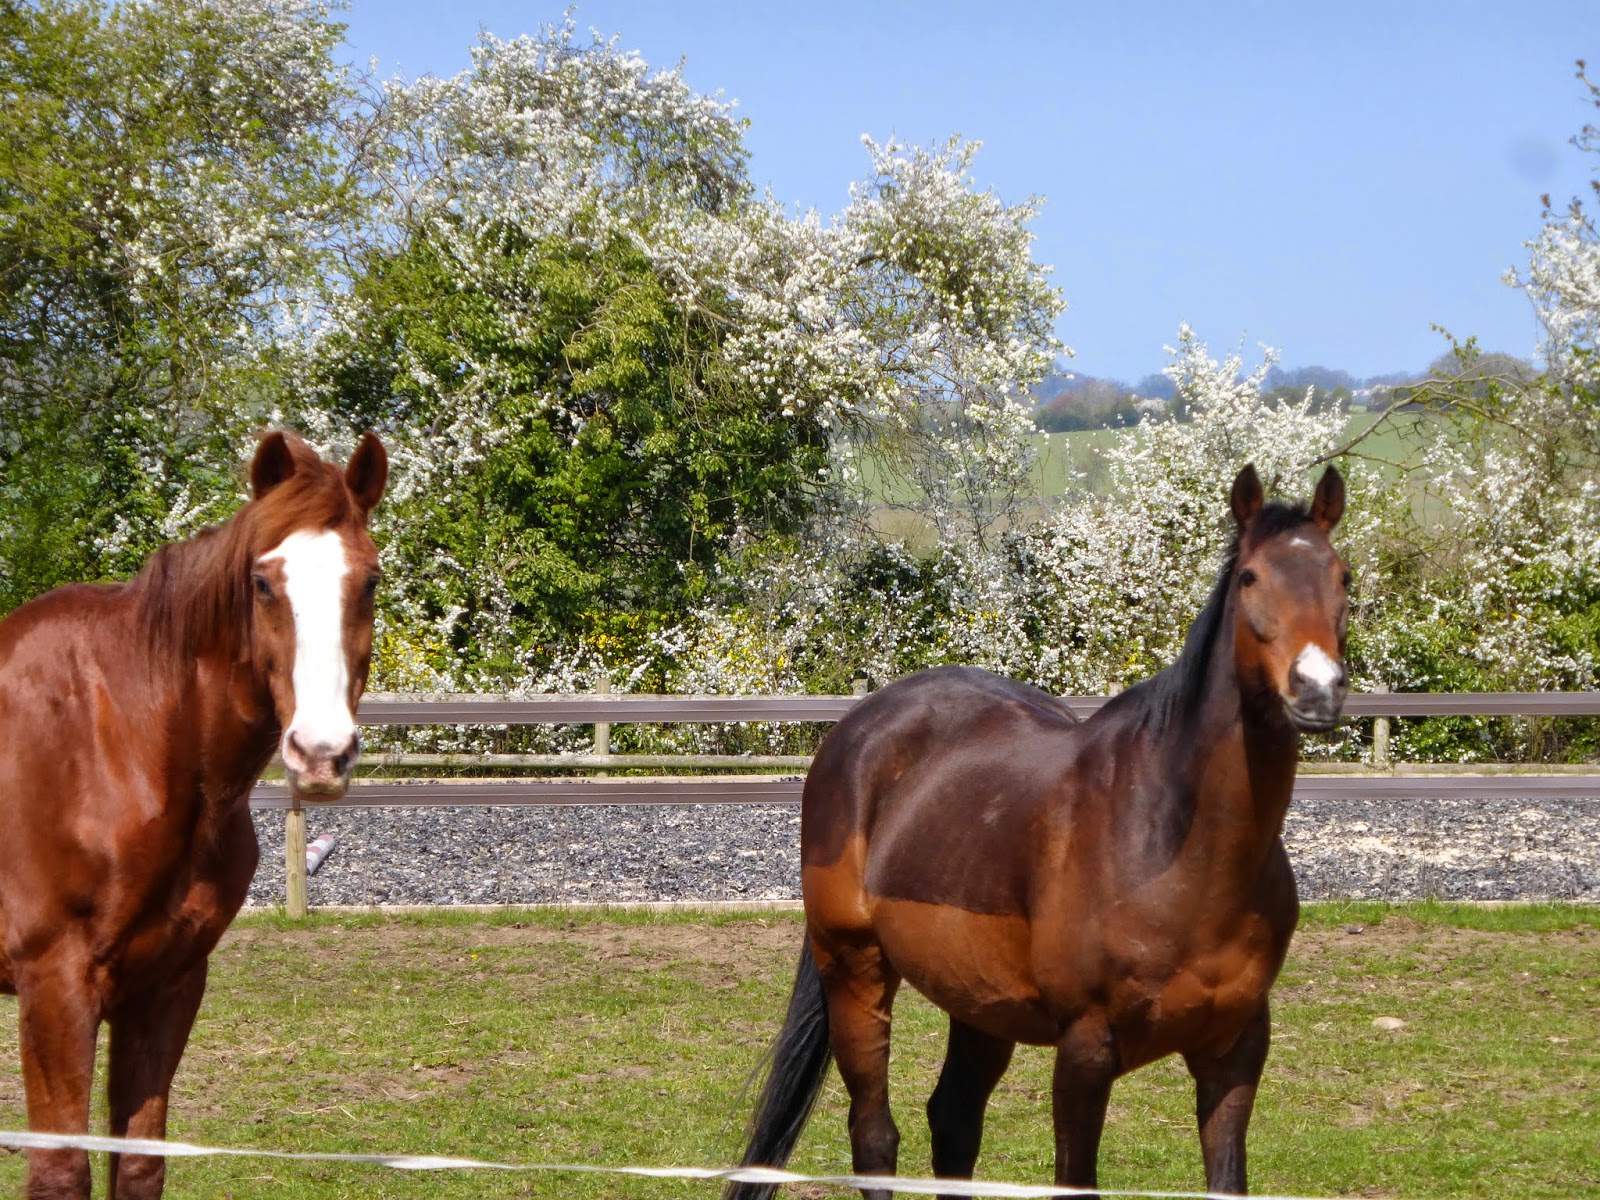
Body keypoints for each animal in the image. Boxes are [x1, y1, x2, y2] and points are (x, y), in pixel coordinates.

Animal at [0, 431, 387, 1199]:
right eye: (263, 583)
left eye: (370, 581)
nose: (321, 752)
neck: (119, 742)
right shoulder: (54, 987)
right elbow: (61, 1172)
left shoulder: (167, 984)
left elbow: (139, 1162)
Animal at [729, 464, 1349, 1200]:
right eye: (1251, 577)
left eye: (1343, 577)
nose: (1317, 689)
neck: (1174, 848)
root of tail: (857, 728)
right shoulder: (1085, 1050)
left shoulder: (1235, 1050)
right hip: (854, 969)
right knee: (874, 1135)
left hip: (978, 999)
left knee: (953, 1120)